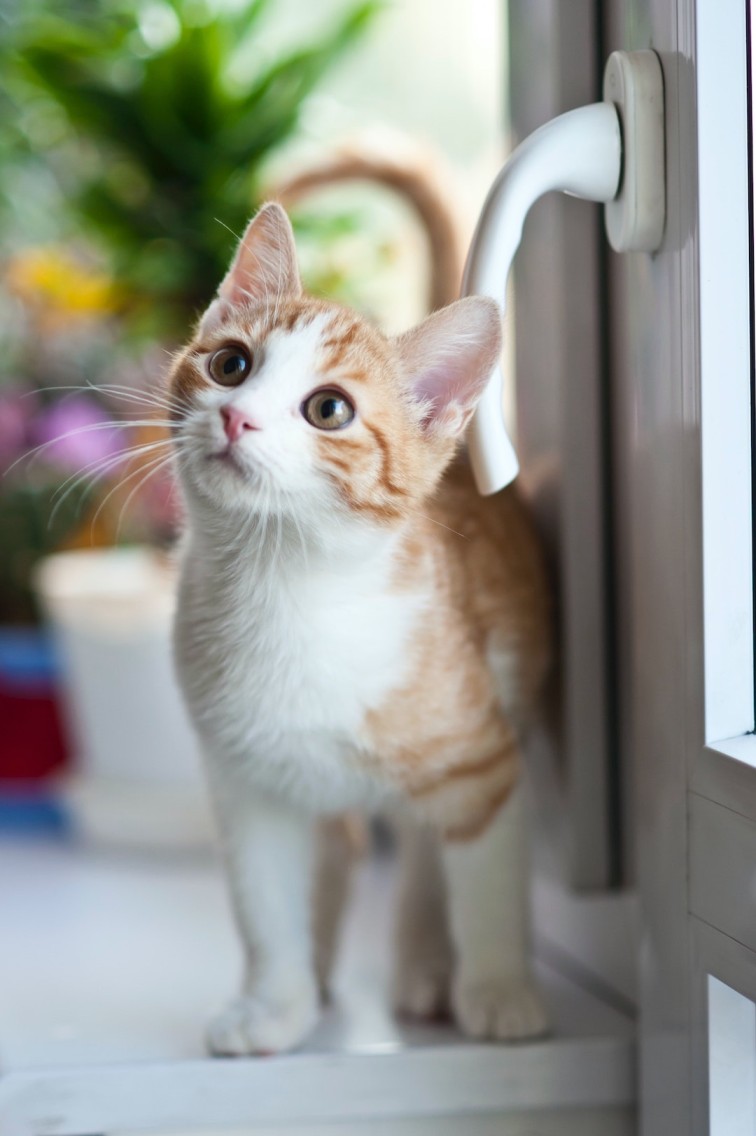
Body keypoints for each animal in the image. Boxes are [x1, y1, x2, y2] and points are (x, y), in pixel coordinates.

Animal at [168, 202, 552, 1054]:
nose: (236, 416)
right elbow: (265, 905)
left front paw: (500, 989)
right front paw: (274, 1003)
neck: (284, 590)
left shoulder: (487, 763)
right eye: (231, 365)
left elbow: (484, 885)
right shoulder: (246, 782)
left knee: (420, 849)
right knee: (345, 848)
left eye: (329, 409)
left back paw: (425, 962)